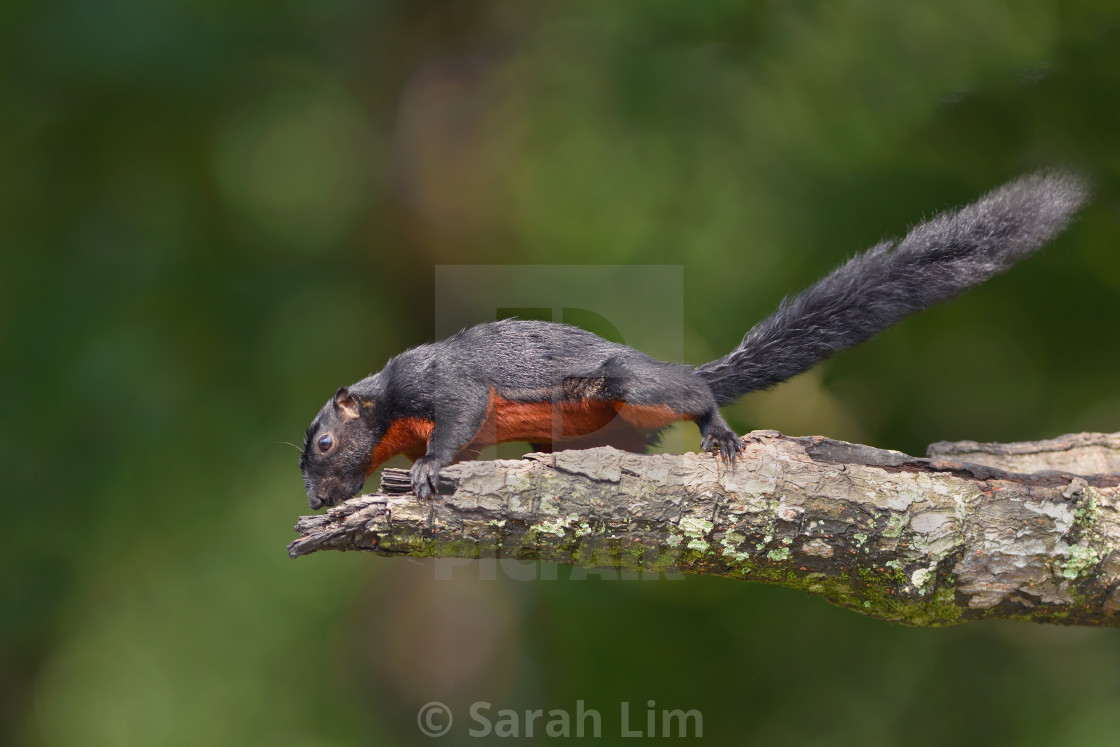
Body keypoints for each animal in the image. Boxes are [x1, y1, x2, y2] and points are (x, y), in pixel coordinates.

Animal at [297, 171, 1084, 508]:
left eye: (326, 443)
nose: (312, 499)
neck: (385, 403)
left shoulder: (438, 384)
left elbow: (458, 416)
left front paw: (428, 470)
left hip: (625, 381)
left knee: (691, 391)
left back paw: (718, 429)